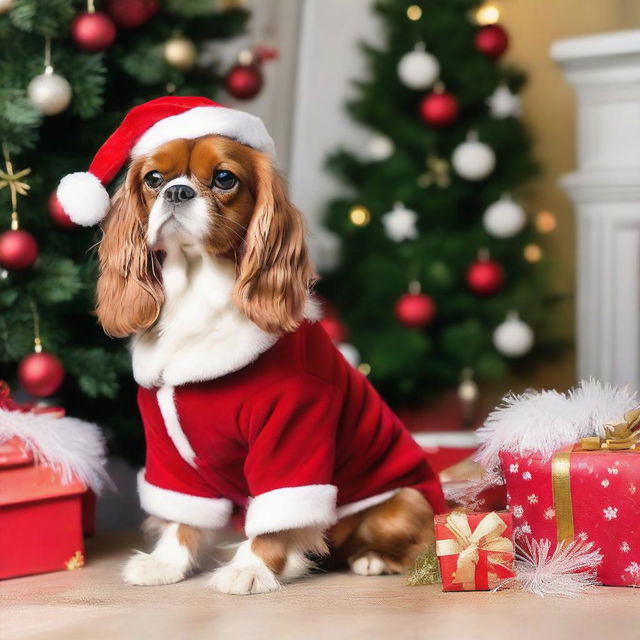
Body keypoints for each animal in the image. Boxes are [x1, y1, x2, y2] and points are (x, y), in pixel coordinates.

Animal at [57, 99, 442, 596]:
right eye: (154, 179)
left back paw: (374, 559)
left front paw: (252, 568)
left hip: (403, 501)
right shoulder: (166, 447)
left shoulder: (293, 428)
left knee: (414, 546)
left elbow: (278, 515)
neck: (196, 292)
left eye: (224, 178)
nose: (177, 192)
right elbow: (182, 514)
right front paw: (166, 562)